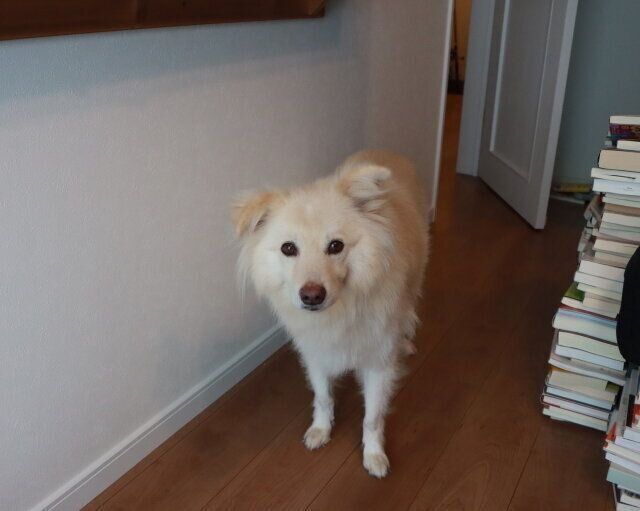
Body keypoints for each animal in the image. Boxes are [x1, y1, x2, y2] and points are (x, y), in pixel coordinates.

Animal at [232, 150, 429, 477]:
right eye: (288, 248)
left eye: (336, 246)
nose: (312, 295)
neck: (341, 313)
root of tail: (385, 153)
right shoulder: (316, 353)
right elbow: (323, 397)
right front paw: (320, 430)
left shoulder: (378, 363)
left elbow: (372, 417)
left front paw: (374, 456)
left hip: (414, 282)